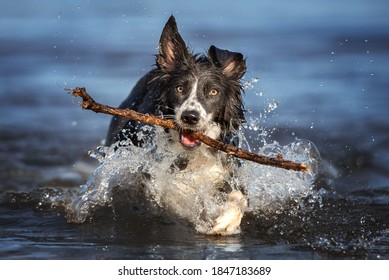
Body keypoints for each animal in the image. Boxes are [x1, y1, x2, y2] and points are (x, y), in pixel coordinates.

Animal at [104, 14, 247, 234]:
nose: (190, 117)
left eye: (213, 92)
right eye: (180, 88)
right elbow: (171, 191)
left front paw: (225, 221)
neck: (193, 156)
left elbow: (240, 197)